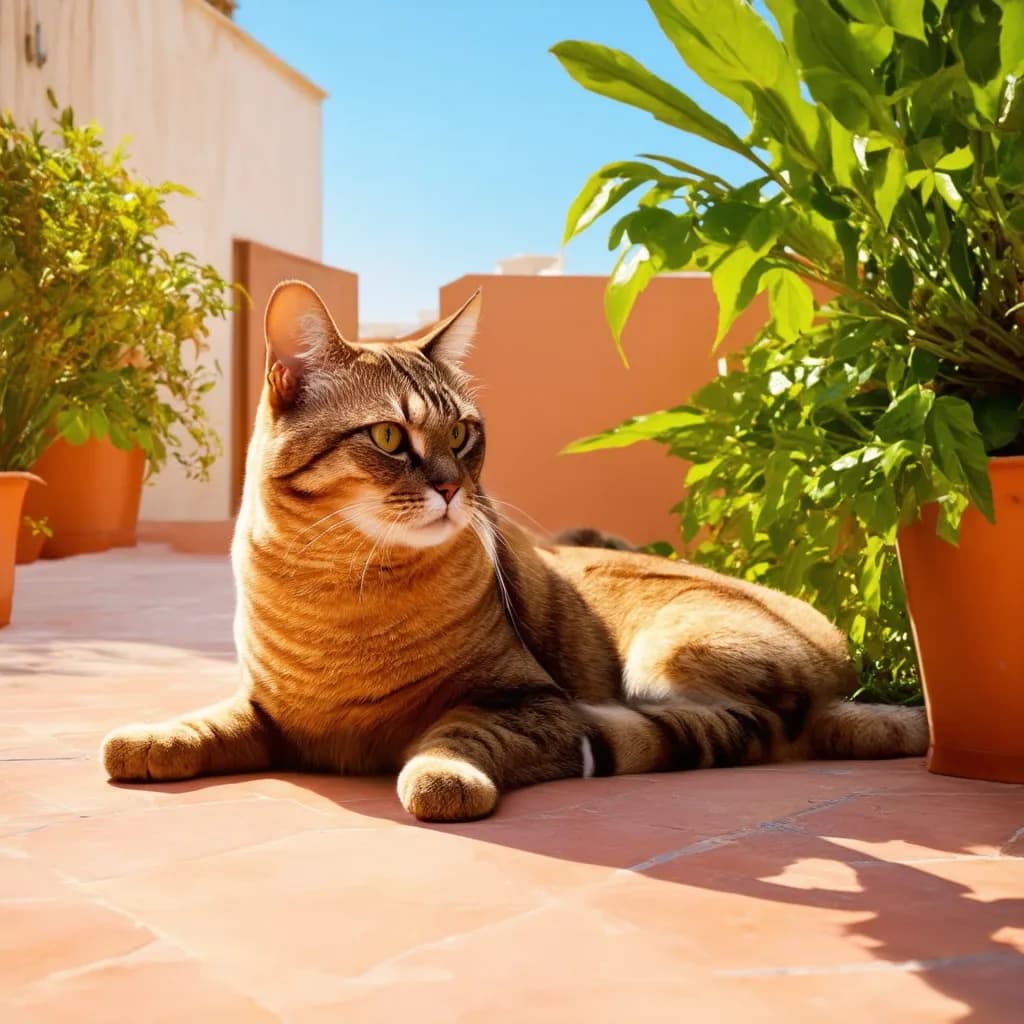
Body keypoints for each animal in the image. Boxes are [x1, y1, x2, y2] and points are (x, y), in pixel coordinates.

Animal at [101, 280, 929, 823]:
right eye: (390, 437)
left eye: (463, 433)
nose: (452, 488)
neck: (343, 585)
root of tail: (845, 666)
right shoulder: (268, 707)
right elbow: (209, 722)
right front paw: (150, 738)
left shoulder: (529, 702)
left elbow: (460, 733)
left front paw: (442, 773)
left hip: (671, 653)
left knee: (739, 728)